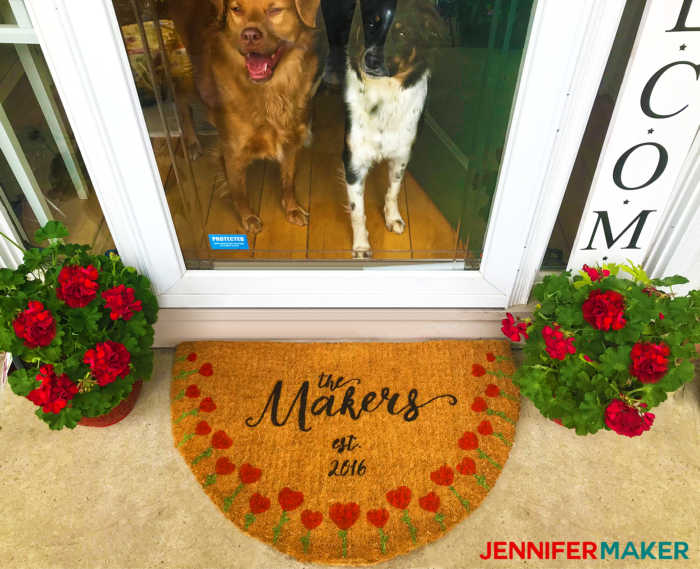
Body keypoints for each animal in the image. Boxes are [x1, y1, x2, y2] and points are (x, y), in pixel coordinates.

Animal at [168, 0, 322, 233]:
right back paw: (193, 143)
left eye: (275, 10)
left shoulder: (292, 141)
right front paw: (247, 217)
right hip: (189, 75)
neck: (271, 91)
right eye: (237, 9)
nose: (249, 36)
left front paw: (292, 208)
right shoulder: (233, 151)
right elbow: (239, 190)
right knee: (183, 104)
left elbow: (289, 181)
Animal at [342, 0, 446, 258]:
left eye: (401, 35)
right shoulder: (353, 159)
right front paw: (361, 246)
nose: (371, 61)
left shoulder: (402, 153)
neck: (383, 95)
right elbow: (358, 210)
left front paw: (392, 218)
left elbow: (394, 190)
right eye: (370, 25)